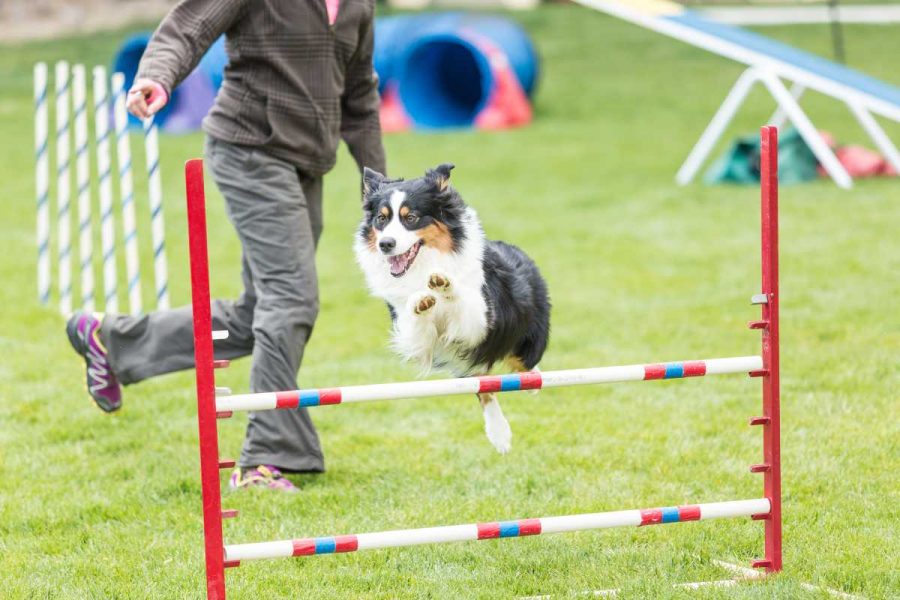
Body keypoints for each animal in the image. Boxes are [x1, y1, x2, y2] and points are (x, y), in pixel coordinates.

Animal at [352, 164, 548, 454]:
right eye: (381, 219)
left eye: (411, 218)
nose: (385, 244)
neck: (424, 264)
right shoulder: (413, 334)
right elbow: (415, 316)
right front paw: (421, 300)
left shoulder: (481, 320)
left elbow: (460, 299)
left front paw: (443, 283)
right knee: (484, 386)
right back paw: (499, 434)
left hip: (525, 339)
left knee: (521, 363)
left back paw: (532, 384)